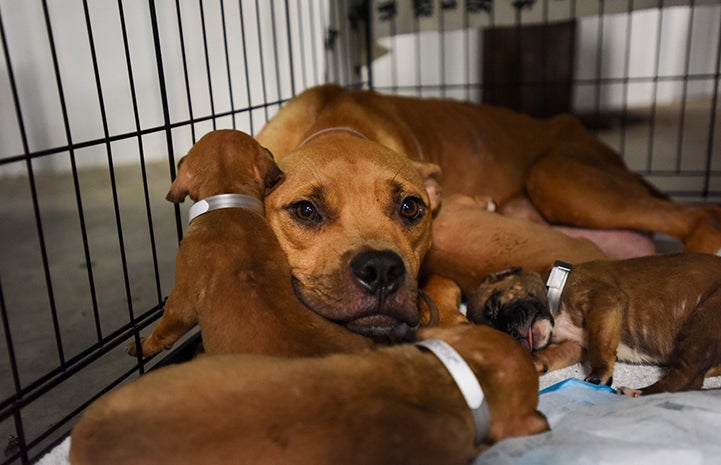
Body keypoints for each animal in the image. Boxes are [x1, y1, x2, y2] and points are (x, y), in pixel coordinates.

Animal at [464, 254, 720, 396]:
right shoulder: (576, 344)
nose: (510, 332)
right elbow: (553, 353)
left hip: (704, 321)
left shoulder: (603, 301)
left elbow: (600, 344)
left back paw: (635, 392)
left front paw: (600, 374)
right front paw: (533, 360)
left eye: (493, 306)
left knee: (686, 378)